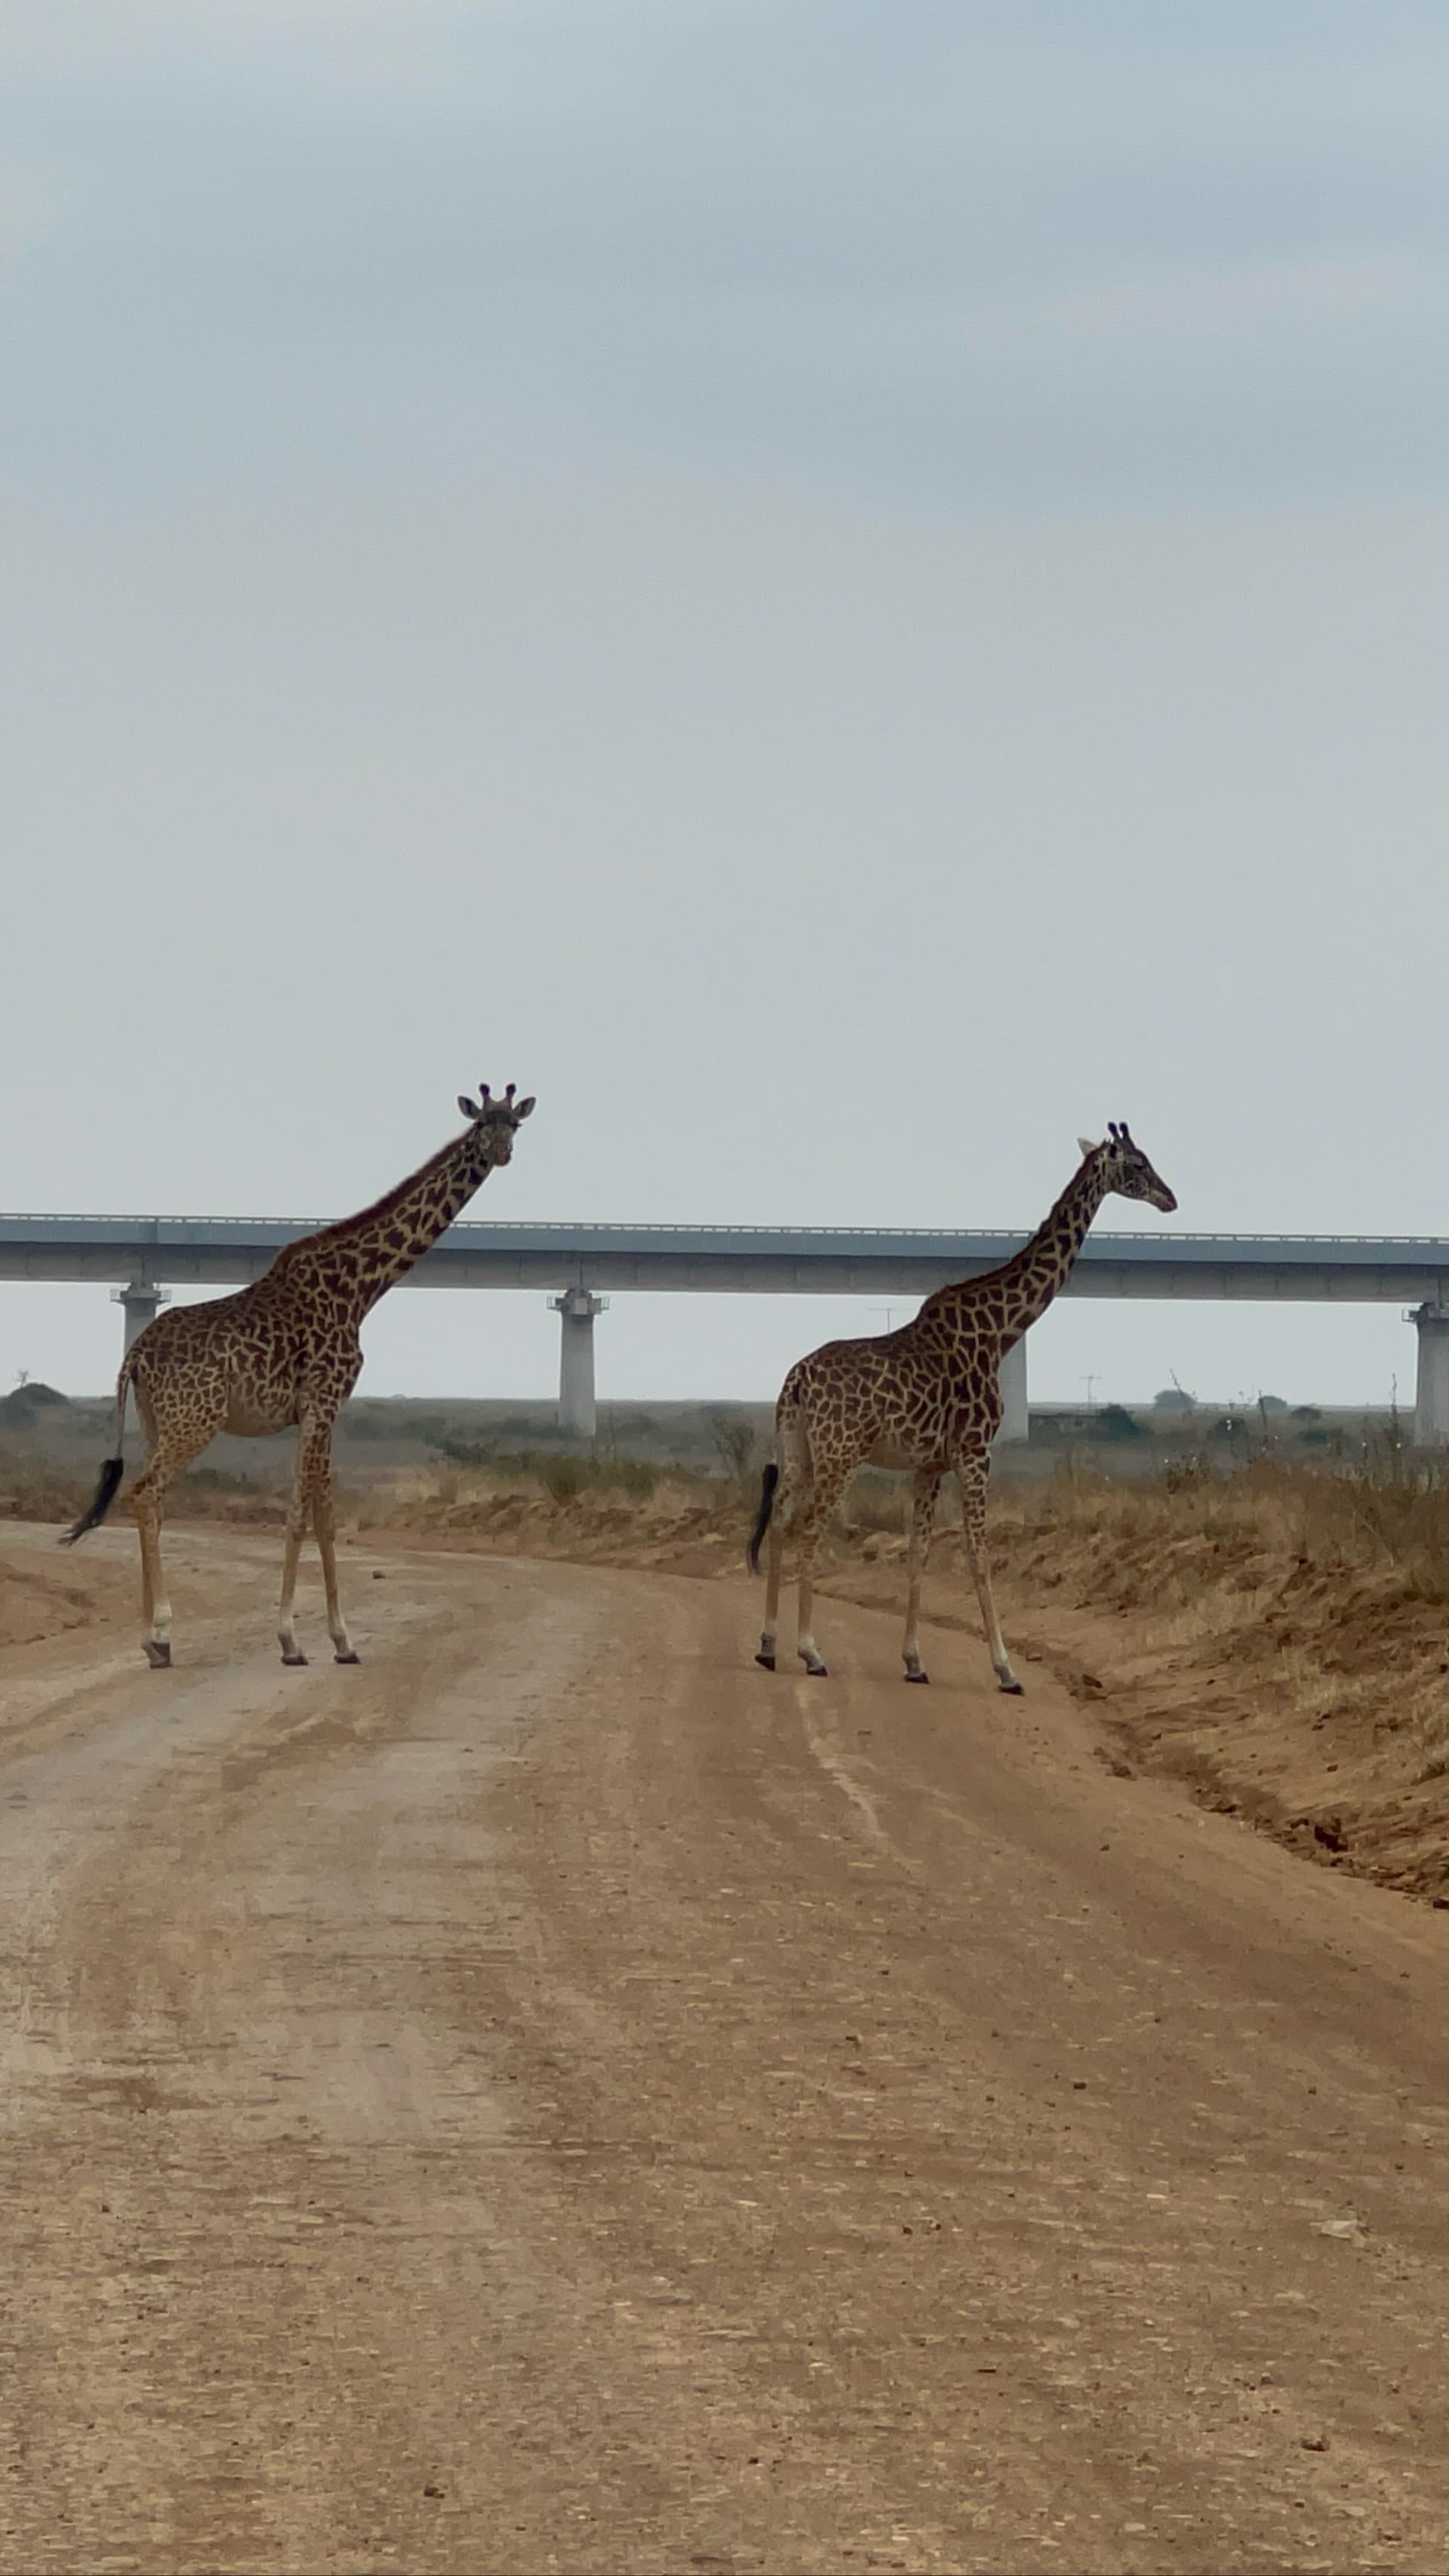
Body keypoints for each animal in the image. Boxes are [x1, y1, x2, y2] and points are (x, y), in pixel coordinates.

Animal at [62, 1082, 536, 1669]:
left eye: (514, 1124)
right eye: (481, 1125)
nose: (502, 1153)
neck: (362, 1288)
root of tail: (135, 1355)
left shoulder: (321, 1408)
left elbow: (321, 1514)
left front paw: (336, 1641)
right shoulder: (324, 1400)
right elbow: (302, 1515)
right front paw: (300, 1640)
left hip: (156, 1421)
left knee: (150, 1498)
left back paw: (153, 1640)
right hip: (194, 1419)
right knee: (147, 1492)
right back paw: (163, 1633)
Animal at [747, 1123, 1177, 1691]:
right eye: (1137, 1164)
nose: (1171, 1199)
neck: (1000, 1332)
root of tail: (795, 1383)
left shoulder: (929, 1463)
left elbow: (919, 1553)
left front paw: (914, 1662)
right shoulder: (975, 1452)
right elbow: (979, 1554)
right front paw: (1006, 1669)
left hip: (798, 1449)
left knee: (778, 1520)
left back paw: (768, 1645)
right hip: (840, 1455)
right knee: (807, 1528)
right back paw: (810, 1652)